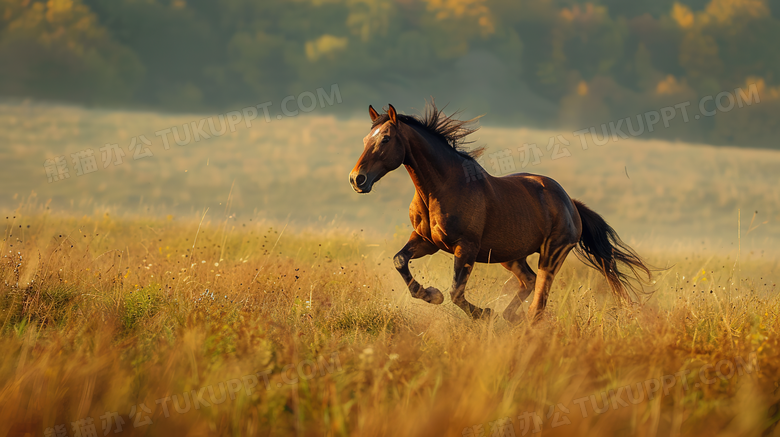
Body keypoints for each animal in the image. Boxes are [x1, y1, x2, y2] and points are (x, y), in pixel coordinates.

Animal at [348, 101, 652, 320]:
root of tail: (570, 203)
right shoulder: (426, 241)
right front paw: (430, 294)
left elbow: (456, 292)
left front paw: (482, 313)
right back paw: (508, 317)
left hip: (551, 254)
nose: (357, 179)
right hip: (511, 255)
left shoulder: (466, 247)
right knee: (528, 282)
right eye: (364, 139)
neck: (443, 187)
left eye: (386, 139)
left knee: (538, 300)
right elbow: (400, 260)